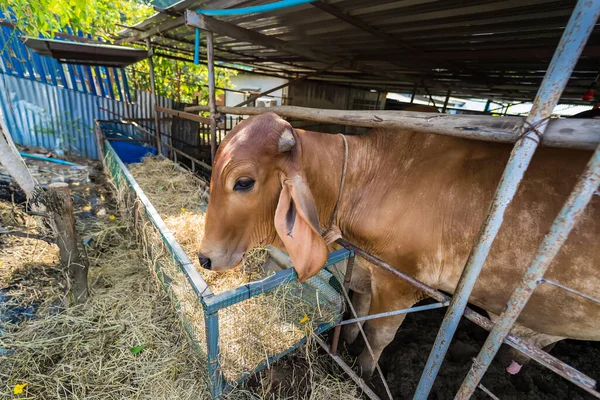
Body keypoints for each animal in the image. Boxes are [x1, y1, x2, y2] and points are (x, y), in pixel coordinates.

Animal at [198, 111, 600, 378]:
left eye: (243, 182)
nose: (204, 258)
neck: (366, 179)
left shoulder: (401, 282)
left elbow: (379, 333)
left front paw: (363, 370)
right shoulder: (366, 270)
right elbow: (359, 311)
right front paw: (348, 343)